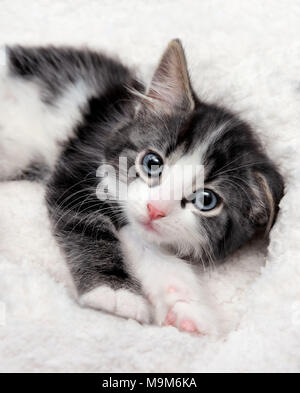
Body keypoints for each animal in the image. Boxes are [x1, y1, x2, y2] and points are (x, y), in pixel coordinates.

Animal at [0, 39, 284, 334]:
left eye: (206, 200)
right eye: (152, 162)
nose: (154, 209)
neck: (120, 122)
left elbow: (146, 245)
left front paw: (186, 305)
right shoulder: (78, 168)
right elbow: (86, 225)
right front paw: (113, 292)